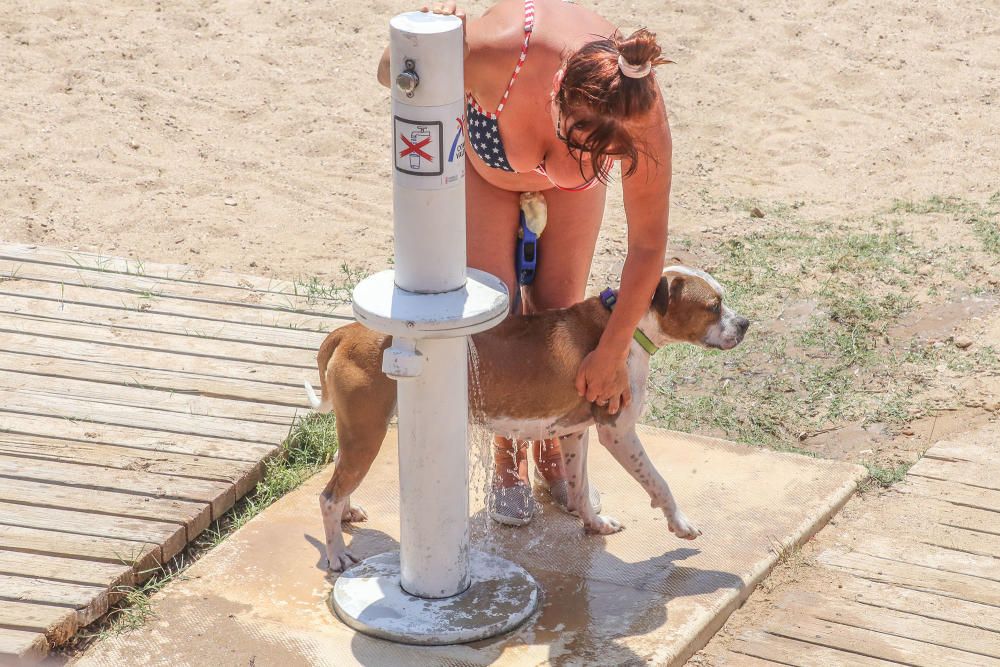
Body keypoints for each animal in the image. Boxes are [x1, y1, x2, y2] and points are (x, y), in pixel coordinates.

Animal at [308, 264, 748, 568]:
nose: (745, 323)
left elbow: (579, 488)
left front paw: (594, 524)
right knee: (327, 496)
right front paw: (681, 524)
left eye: (724, 298)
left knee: (338, 473)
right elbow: (659, 481)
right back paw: (336, 554)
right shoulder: (618, 432)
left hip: (361, 429)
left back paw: (349, 512)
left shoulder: (574, 433)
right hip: (369, 433)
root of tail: (347, 331)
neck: (626, 327)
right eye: (713, 307)